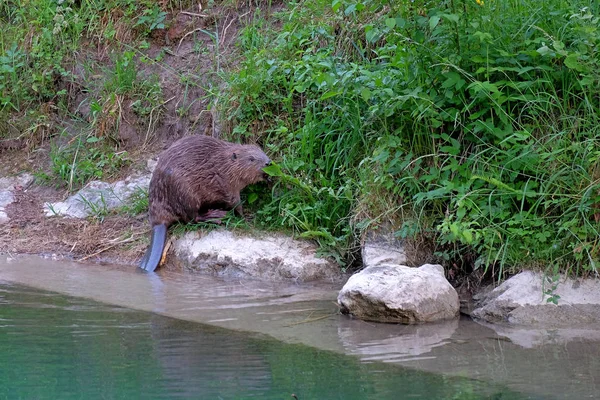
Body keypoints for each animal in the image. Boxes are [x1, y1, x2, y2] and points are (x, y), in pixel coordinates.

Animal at [138, 135, 270, 272]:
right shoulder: (225, 183)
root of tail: (158, 223)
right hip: (186, 193)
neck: (224, 164)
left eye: (262, 152)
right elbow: (234, 202)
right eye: (251, 159)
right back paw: (216, 216)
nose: (268, 163)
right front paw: (246, 217)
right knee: (191, 219)